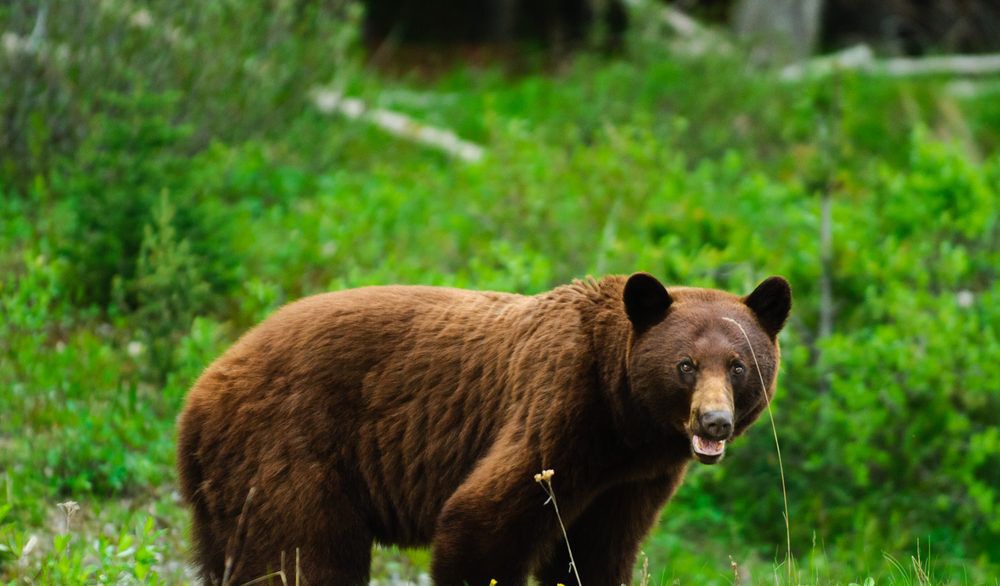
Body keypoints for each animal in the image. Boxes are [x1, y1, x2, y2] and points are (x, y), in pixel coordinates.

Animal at [176, 273, 791, 585]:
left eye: (739, 365)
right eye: (686, 365)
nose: (715, 421)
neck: (626, 423)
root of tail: (198, 395)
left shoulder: (631, 481)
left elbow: (597, 554)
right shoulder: (559, 408)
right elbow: (484, 523)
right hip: (288, 449)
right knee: (305, 557)